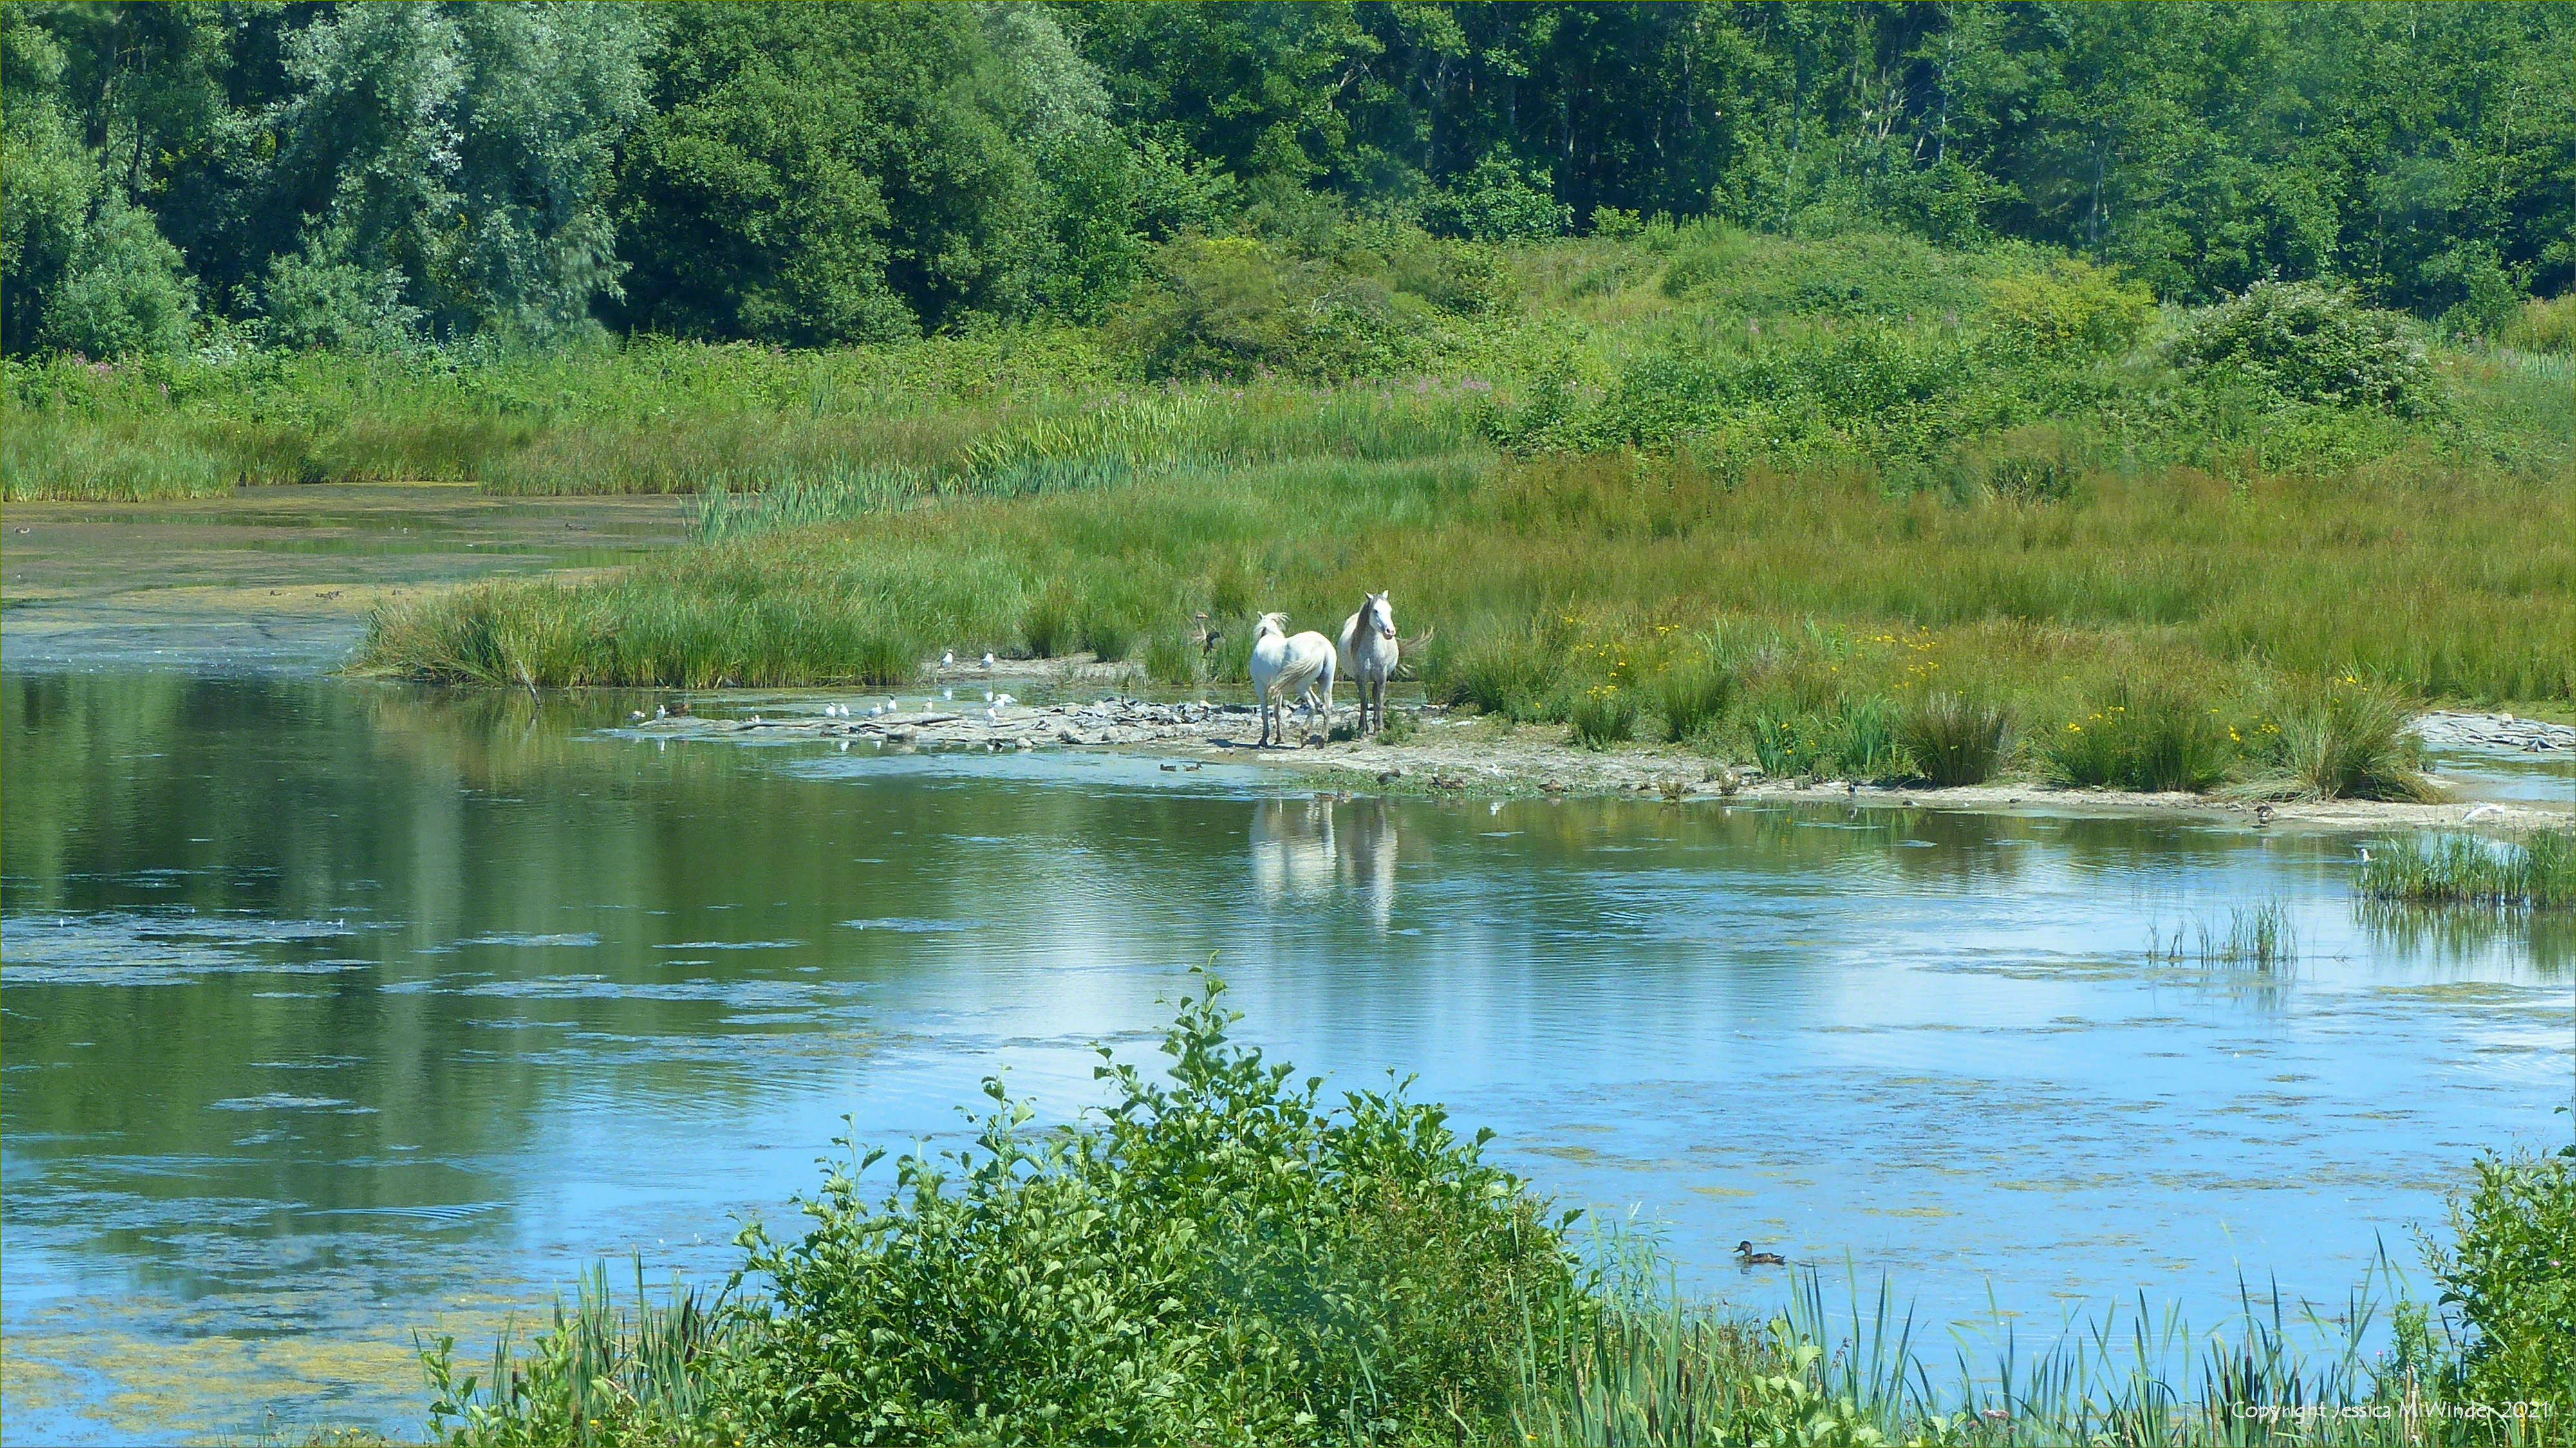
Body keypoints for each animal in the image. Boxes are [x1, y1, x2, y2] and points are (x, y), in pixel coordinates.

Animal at [1249, 612, 1336, 747]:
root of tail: (1320, 645)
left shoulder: (1260, 687)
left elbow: (1265, 713)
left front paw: (1264, 739)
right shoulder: (1279, 690)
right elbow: (1277, 712)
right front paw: (1279, 738)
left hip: (1301, 688)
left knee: (1312, 705)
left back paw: (1304, 734)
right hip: (1325, 682)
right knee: (1326, 707)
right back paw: (1321, 740)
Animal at [1336, 591, 1399, 735]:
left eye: (1390, 610)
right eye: (1375, 611)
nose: (1390, 632)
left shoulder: (1381, 677)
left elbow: (1379, 702)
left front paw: (1379, 729)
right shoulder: (1361, 678)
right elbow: (1364, 702)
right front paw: (1363, 728)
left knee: (1375, 697)